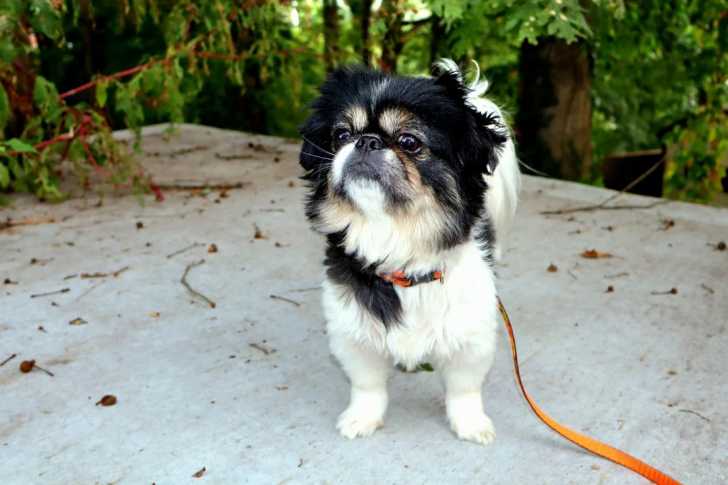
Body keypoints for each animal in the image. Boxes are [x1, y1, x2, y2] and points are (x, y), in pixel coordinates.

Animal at [299, 60, 520, 445]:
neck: (398, 249)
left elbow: (464, 389)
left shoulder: (470, 335)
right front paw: (362, 418)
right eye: (341, 135)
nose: (366, 140)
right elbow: (367, 385)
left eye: (408, 141)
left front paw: (470, 423)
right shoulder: (354, 333)